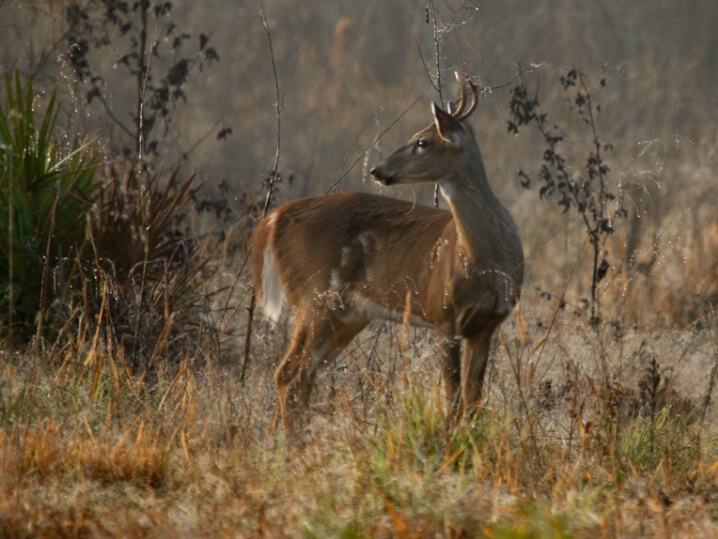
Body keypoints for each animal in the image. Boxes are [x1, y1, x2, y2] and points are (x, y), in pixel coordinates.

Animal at [252, 74, 524, 436]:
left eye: (422, 142)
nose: (377, 170)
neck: (486, 263)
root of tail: (274, 218)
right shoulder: (443, 313)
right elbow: (453, 400)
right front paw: (451, 442)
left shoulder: (486, 325)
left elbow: (473, 402)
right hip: (316, 296)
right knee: (288, 374)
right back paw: (293, 443)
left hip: (350, 313)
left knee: (303, 375)